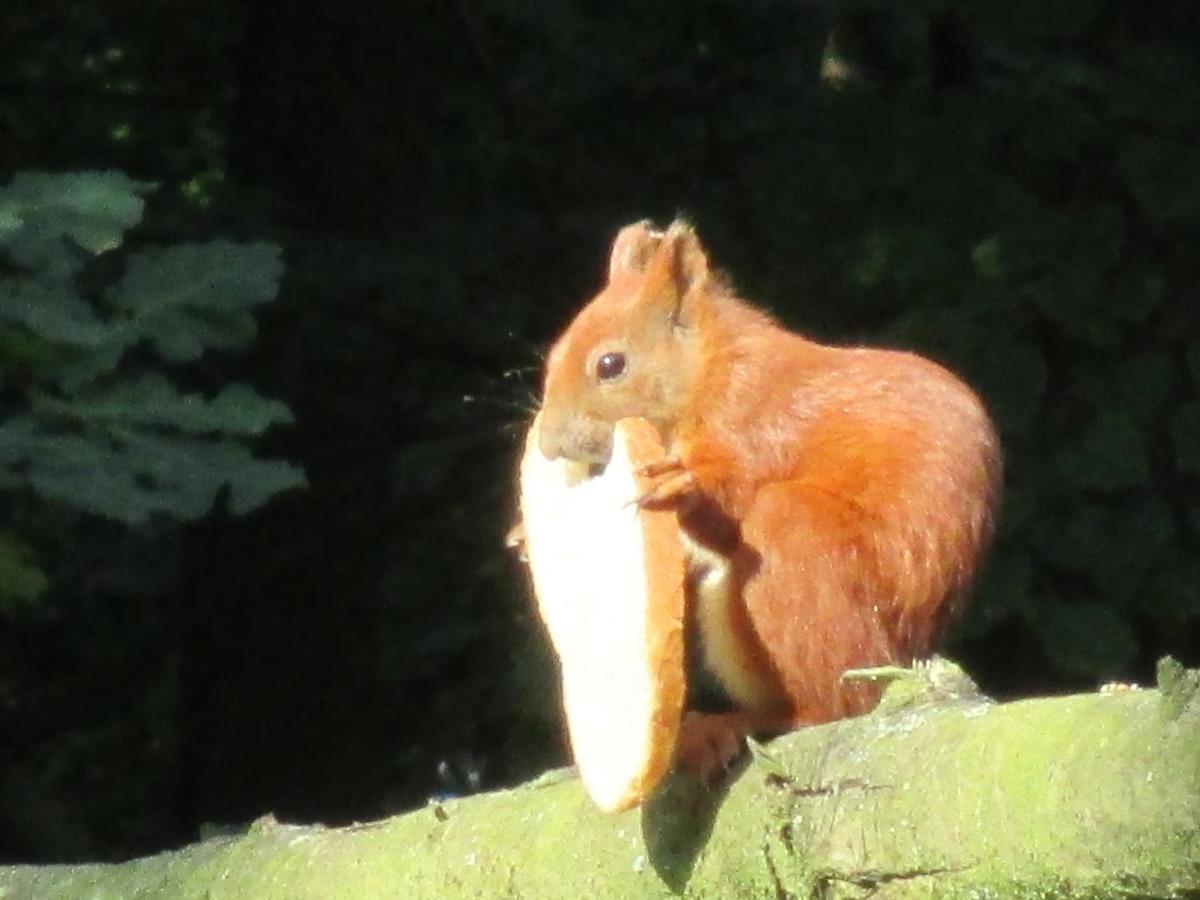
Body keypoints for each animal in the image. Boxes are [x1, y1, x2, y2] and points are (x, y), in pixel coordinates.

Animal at [530, 220, 998, 782]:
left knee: (842, 703)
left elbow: (733, 494)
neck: (711, 373)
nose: (549, 444)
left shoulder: (757, 425)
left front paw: (682, 486)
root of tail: (907, 652)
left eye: (610, 364)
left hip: (804, 554)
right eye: (554, 355)